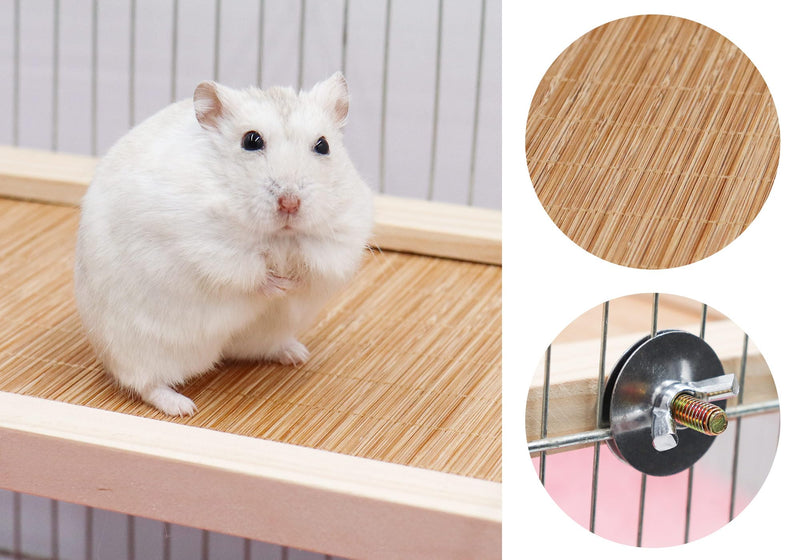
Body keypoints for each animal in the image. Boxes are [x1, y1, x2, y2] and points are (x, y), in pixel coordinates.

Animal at [74, 72, 373, 416]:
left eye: (323, 145)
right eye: (251, 140)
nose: (289, 203)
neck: (280, 236)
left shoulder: (340, 236)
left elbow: (314, 264)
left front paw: (293, 282)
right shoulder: (209, 246)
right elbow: (248, 274)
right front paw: (279, 285)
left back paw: (297, 354)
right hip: (142, 349)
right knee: (144, 384)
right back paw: (183, 407)